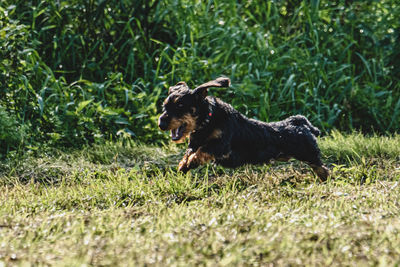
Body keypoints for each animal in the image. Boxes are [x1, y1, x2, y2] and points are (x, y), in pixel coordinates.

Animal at [158, 78, 330, 182]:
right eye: (164, 106)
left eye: (180, 106)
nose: (161, 124)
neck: (208, 121)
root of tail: (301, 123)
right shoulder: (194, 143)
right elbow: (189, 153)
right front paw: (183, 165)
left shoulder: (221, 145)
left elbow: (201, 152)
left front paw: (191, 162)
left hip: (308, 153)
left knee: (322, 168)